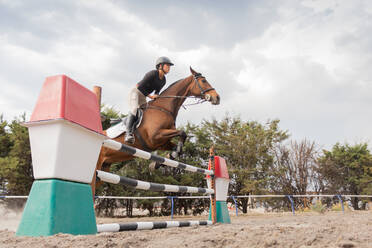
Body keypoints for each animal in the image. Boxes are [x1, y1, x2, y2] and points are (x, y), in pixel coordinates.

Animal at [92, 67, 221, 194]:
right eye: (203, 81)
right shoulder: (155, 137)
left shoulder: (161, 143)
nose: (217, 98)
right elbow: (182, 133)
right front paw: (161, 161)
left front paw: (158, 163)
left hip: (104, 167)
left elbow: (177, 147)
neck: (164, 108)